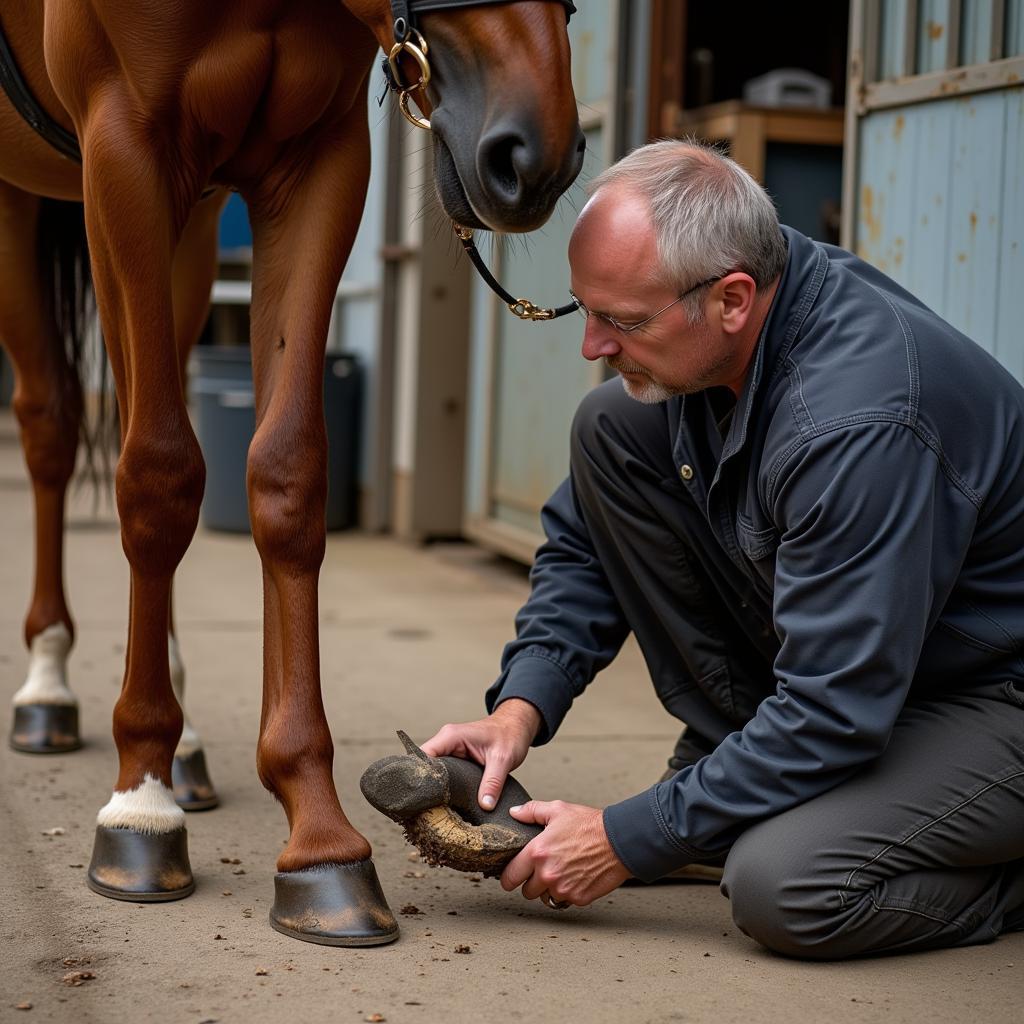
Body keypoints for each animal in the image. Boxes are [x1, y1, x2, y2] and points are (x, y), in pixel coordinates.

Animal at [0, 0, 585, 942]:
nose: (534, 156)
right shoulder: (123, 143)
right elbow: (157, 476)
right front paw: (139, 805)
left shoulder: (317, 161)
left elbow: (286, 473)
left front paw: (318, 838)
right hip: (33, 200)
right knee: (53, 424)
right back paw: (50, 688)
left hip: (192, 219)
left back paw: (182, 742)